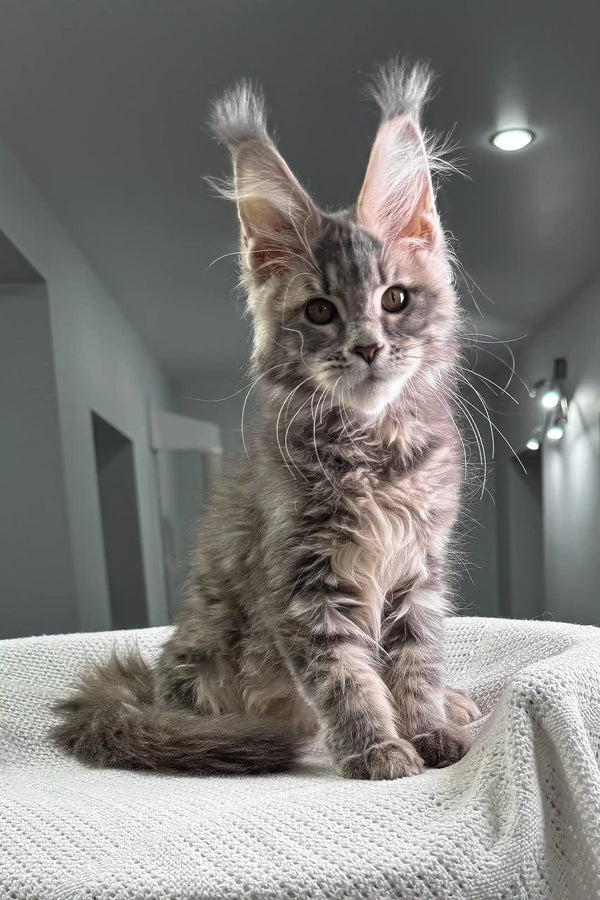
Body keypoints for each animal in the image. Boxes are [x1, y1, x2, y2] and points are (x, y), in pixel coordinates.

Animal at [54, 61, 480, 780]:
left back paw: (455, 702)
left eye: (395, 300)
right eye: (320, 312)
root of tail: (152, 690)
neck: (376, 453)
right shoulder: (305, 586)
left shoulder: (419, 573)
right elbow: (347, 677)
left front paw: (428, 727)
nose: (368, 346)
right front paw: (378, 749)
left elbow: (415, 663)